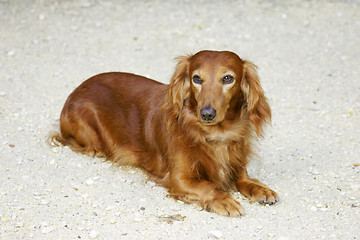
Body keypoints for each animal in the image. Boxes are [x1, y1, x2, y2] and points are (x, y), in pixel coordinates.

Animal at [50, 50, 278, 216]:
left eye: (228, 78)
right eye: (197, 78)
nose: (207, 114)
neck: (214, 135)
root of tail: (78, 88)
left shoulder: (237, 167)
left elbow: (245, 180)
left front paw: (261, 189)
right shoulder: (180, 179)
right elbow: (208, 186)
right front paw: (224, 200)